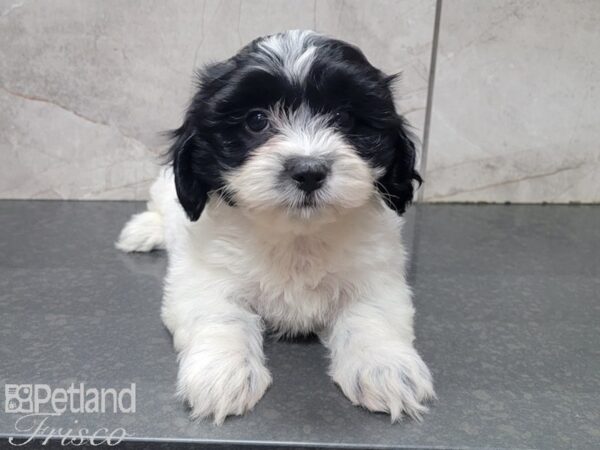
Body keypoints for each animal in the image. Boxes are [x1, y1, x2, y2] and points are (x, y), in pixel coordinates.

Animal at [117, 29, 434, 424]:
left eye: (345, 118)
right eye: (256, 120)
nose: (309, 170)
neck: (298, 235)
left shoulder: (377, 274)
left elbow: (373, 315)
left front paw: (386, 369)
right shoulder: (204, 277)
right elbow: (222, 314)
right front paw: (222, 374)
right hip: (165, 188)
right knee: (159, 205)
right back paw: (141, 231)